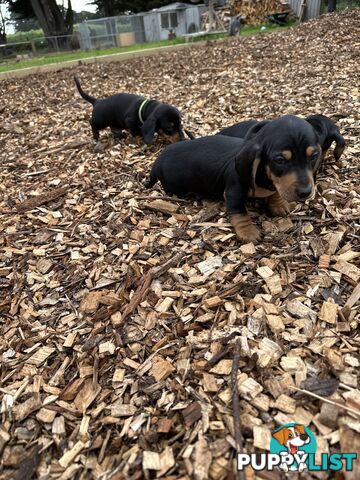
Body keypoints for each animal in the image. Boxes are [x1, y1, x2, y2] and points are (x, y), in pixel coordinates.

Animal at [145, 115, 320, 244]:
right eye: (280, 160)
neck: (263, 177)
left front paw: (279, 204)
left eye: (314, 156)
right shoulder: (233, 192)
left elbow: (275, 192)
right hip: (174, 187)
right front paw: (248, 232)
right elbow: (240, 212)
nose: (306, 192)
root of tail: (158, 160)